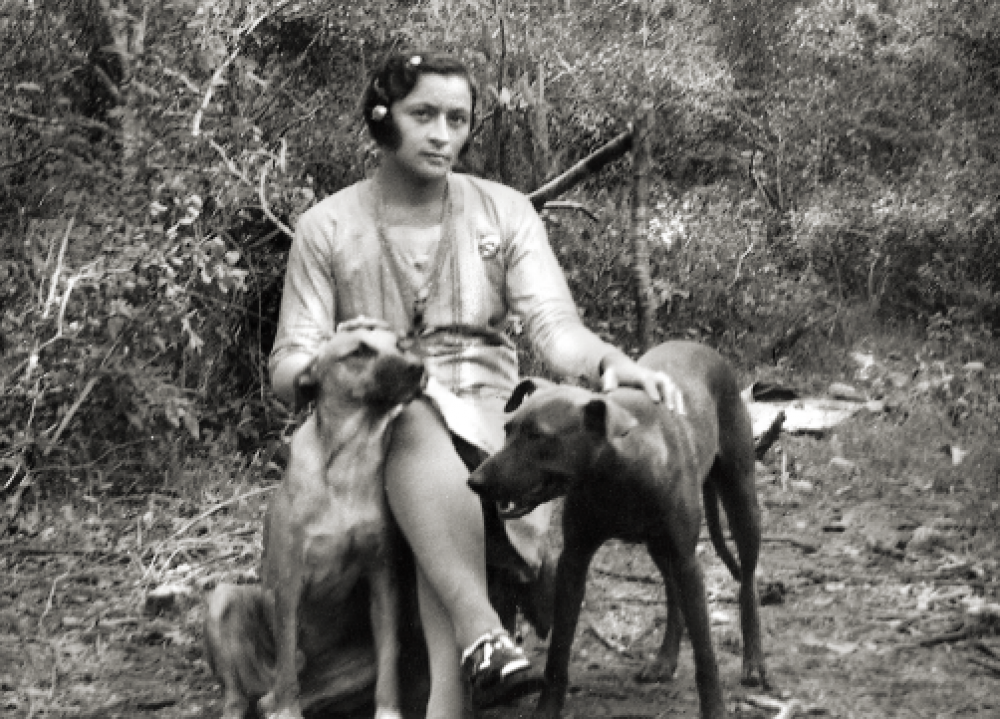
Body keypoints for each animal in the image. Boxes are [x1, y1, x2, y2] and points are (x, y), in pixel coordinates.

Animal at [203, 328, 426, 719]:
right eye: (359, 351)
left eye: (400, 344)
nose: (419, 368)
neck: (349, 459)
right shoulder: (288, 585)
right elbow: (288, 670)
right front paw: (288, 711)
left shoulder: (382, 578)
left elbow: (388, 661)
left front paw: (388, 711)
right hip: (222, 602)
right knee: (244, 693)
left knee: (276, 698)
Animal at [466, 342, 764, 719]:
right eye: (507, 430)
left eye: (538, 437)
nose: (475, 481)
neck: (616, 474)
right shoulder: (574, 560)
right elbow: (558, 650)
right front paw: (548, 707)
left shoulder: (687, 560)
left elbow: (705, 654)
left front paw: (714, 709)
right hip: (658, 546)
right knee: (673, 595)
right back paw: (665, 659)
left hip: (742, 505)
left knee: (747, 583)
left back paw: (754, 661)